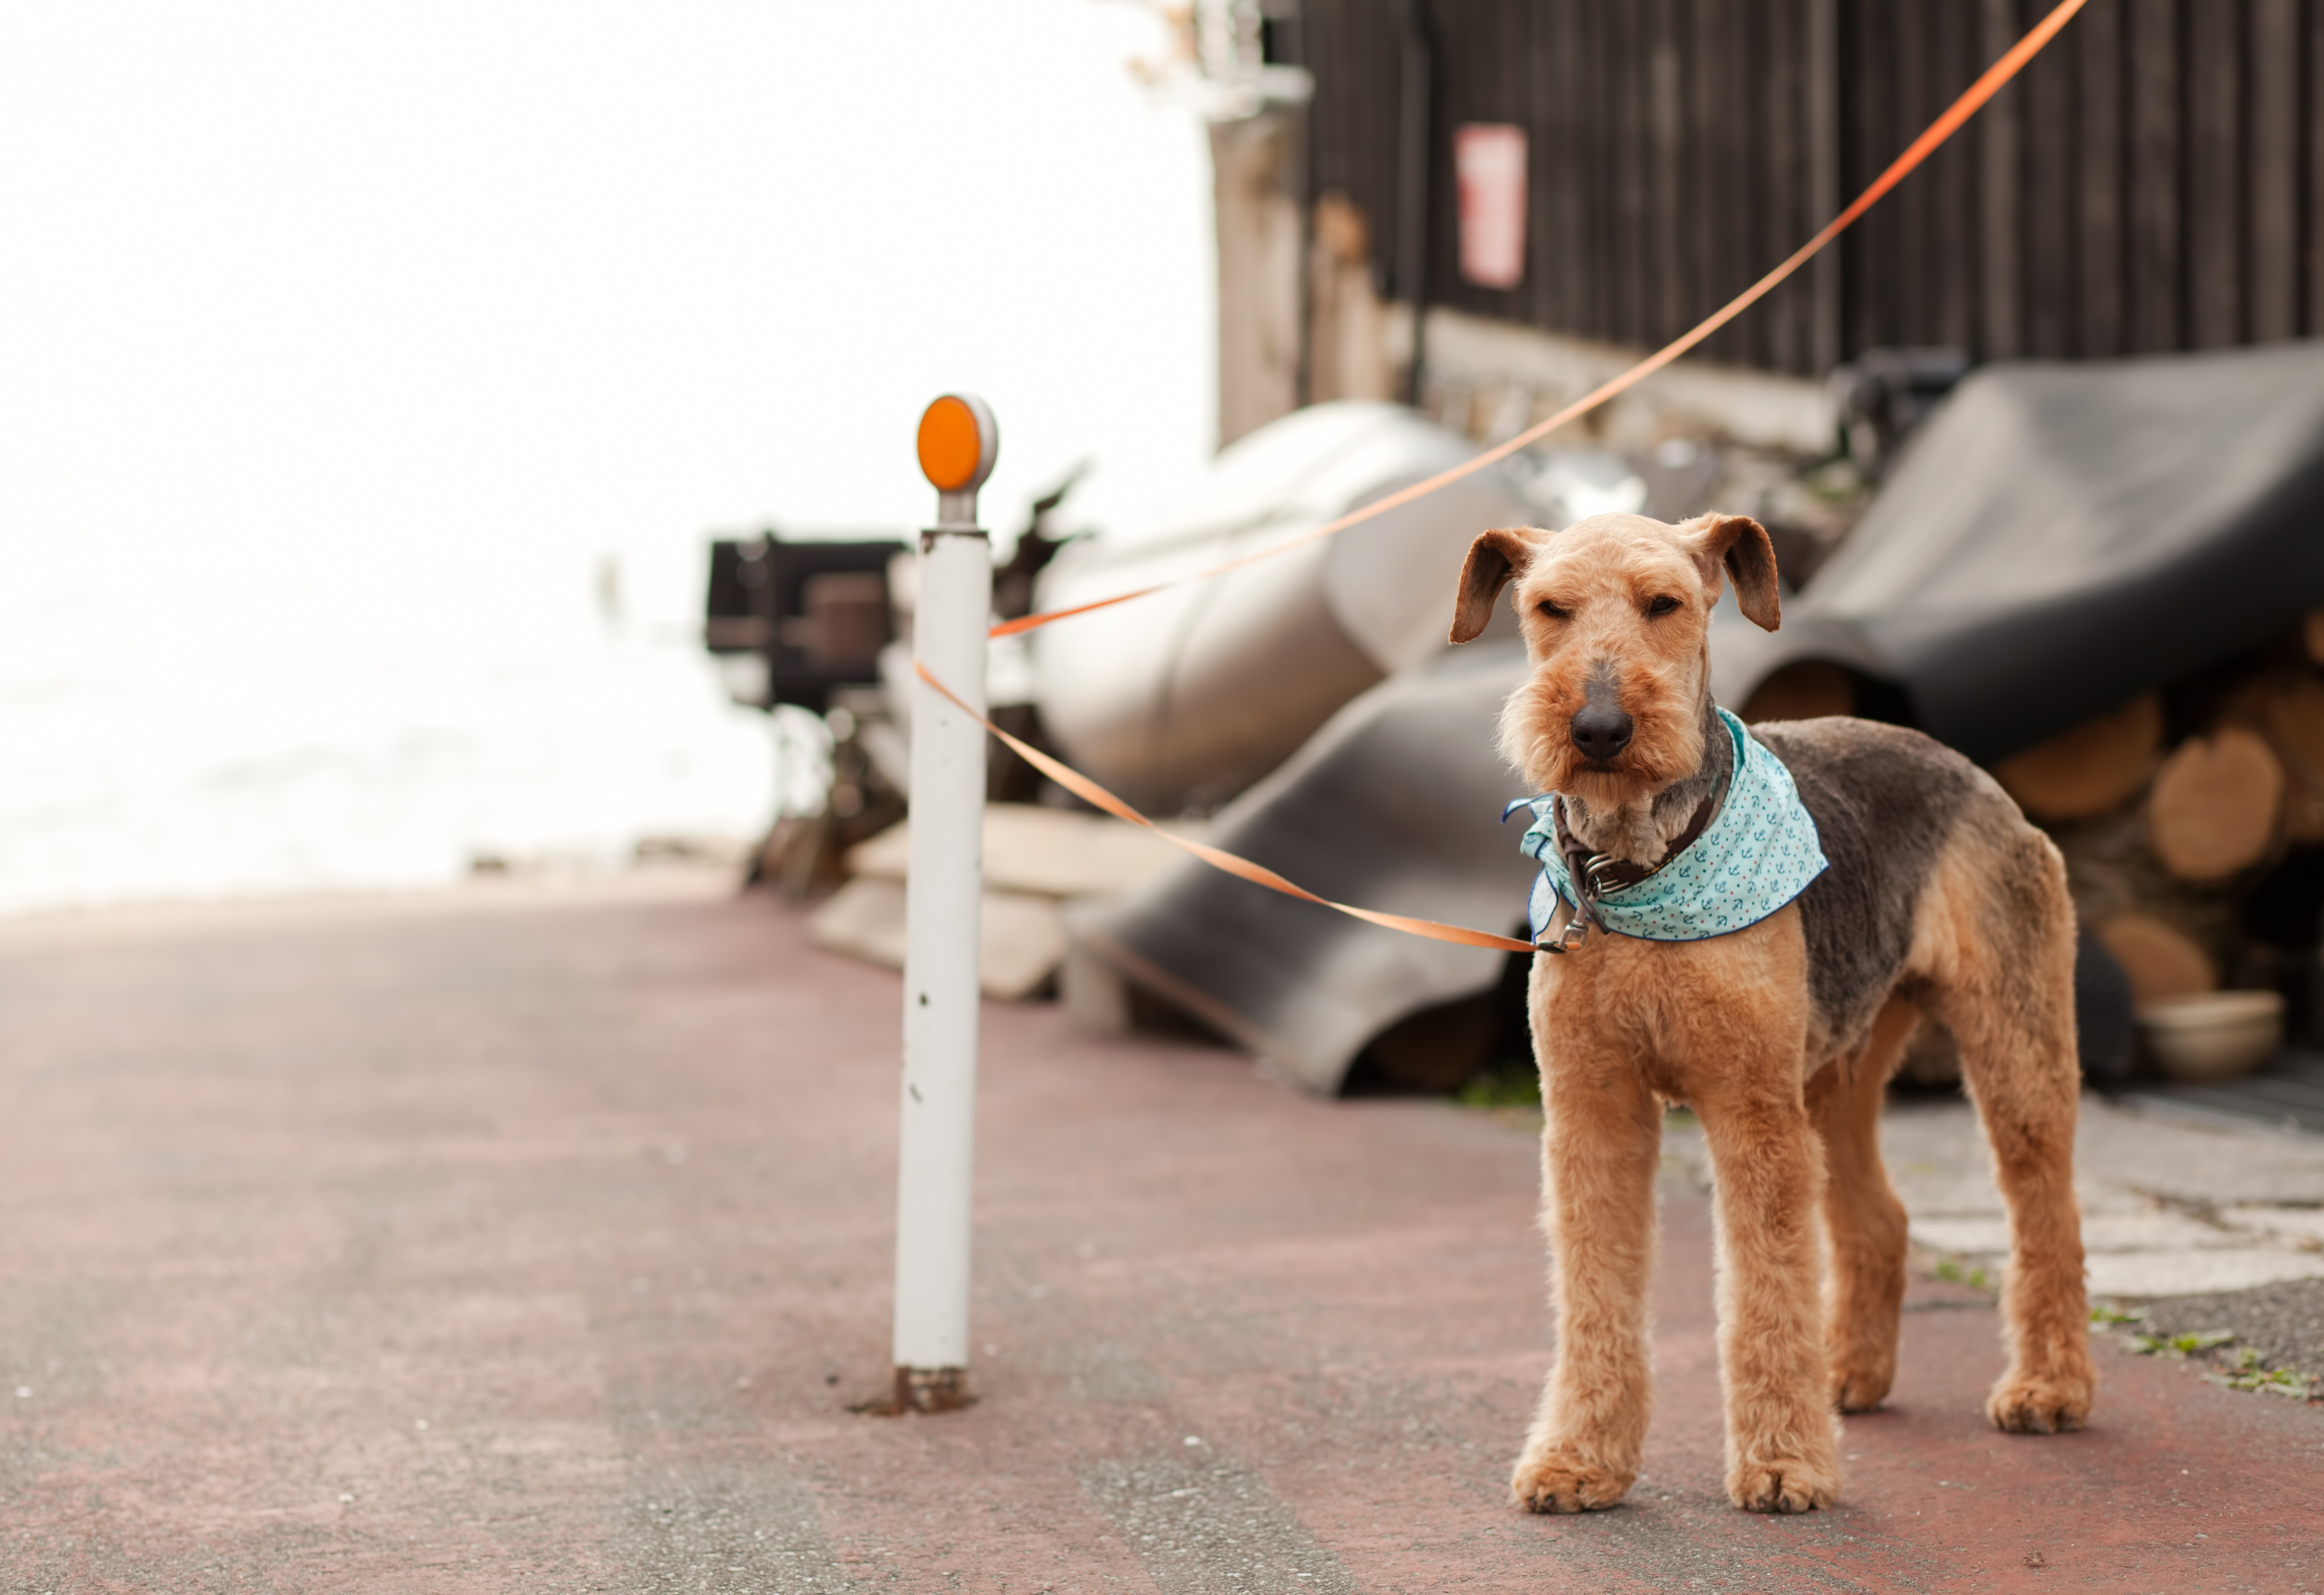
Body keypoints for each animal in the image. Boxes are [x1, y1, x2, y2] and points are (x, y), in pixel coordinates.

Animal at [1450, 516, 2091, 1525]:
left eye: (1664, 603)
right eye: (1549, 607)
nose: (1599, 730)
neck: (1635, 869)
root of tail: (1963, 766)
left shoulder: (1750, 1111)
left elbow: (1764, 1293)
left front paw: (1785, 1465)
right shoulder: (1595, 1108)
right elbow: (1595, 1289)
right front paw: (1578, 1460)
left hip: (2011, 1048)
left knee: (2046, 1210)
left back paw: (2047, 1390)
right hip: (1835, 1074)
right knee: (1881, 1218)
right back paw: (1848, 1377)